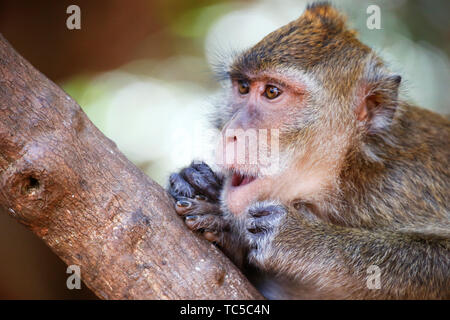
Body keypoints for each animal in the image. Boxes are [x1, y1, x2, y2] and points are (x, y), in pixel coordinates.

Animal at [167, 2, 448, 298]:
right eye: (243, 87)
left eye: (271, 92)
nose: (231, 132)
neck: (348, 172)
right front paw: (198, 184)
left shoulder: (406, 185)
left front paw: (298, 238)